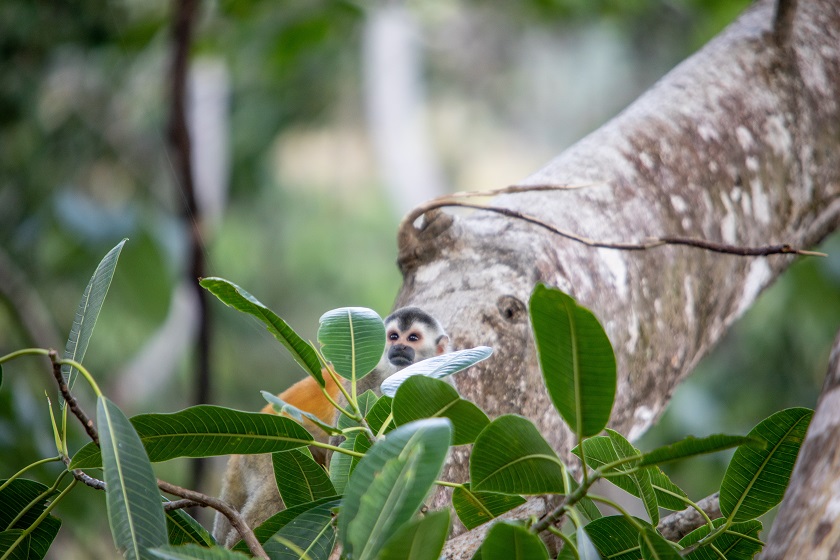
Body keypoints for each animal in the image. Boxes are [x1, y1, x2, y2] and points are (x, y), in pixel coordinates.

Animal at [212, 307, 450, 548]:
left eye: (413, 338)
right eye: (394, 336)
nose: (399, 346)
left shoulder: (439, 388)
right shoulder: (363, 379)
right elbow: (342, 444)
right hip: (265, 448)